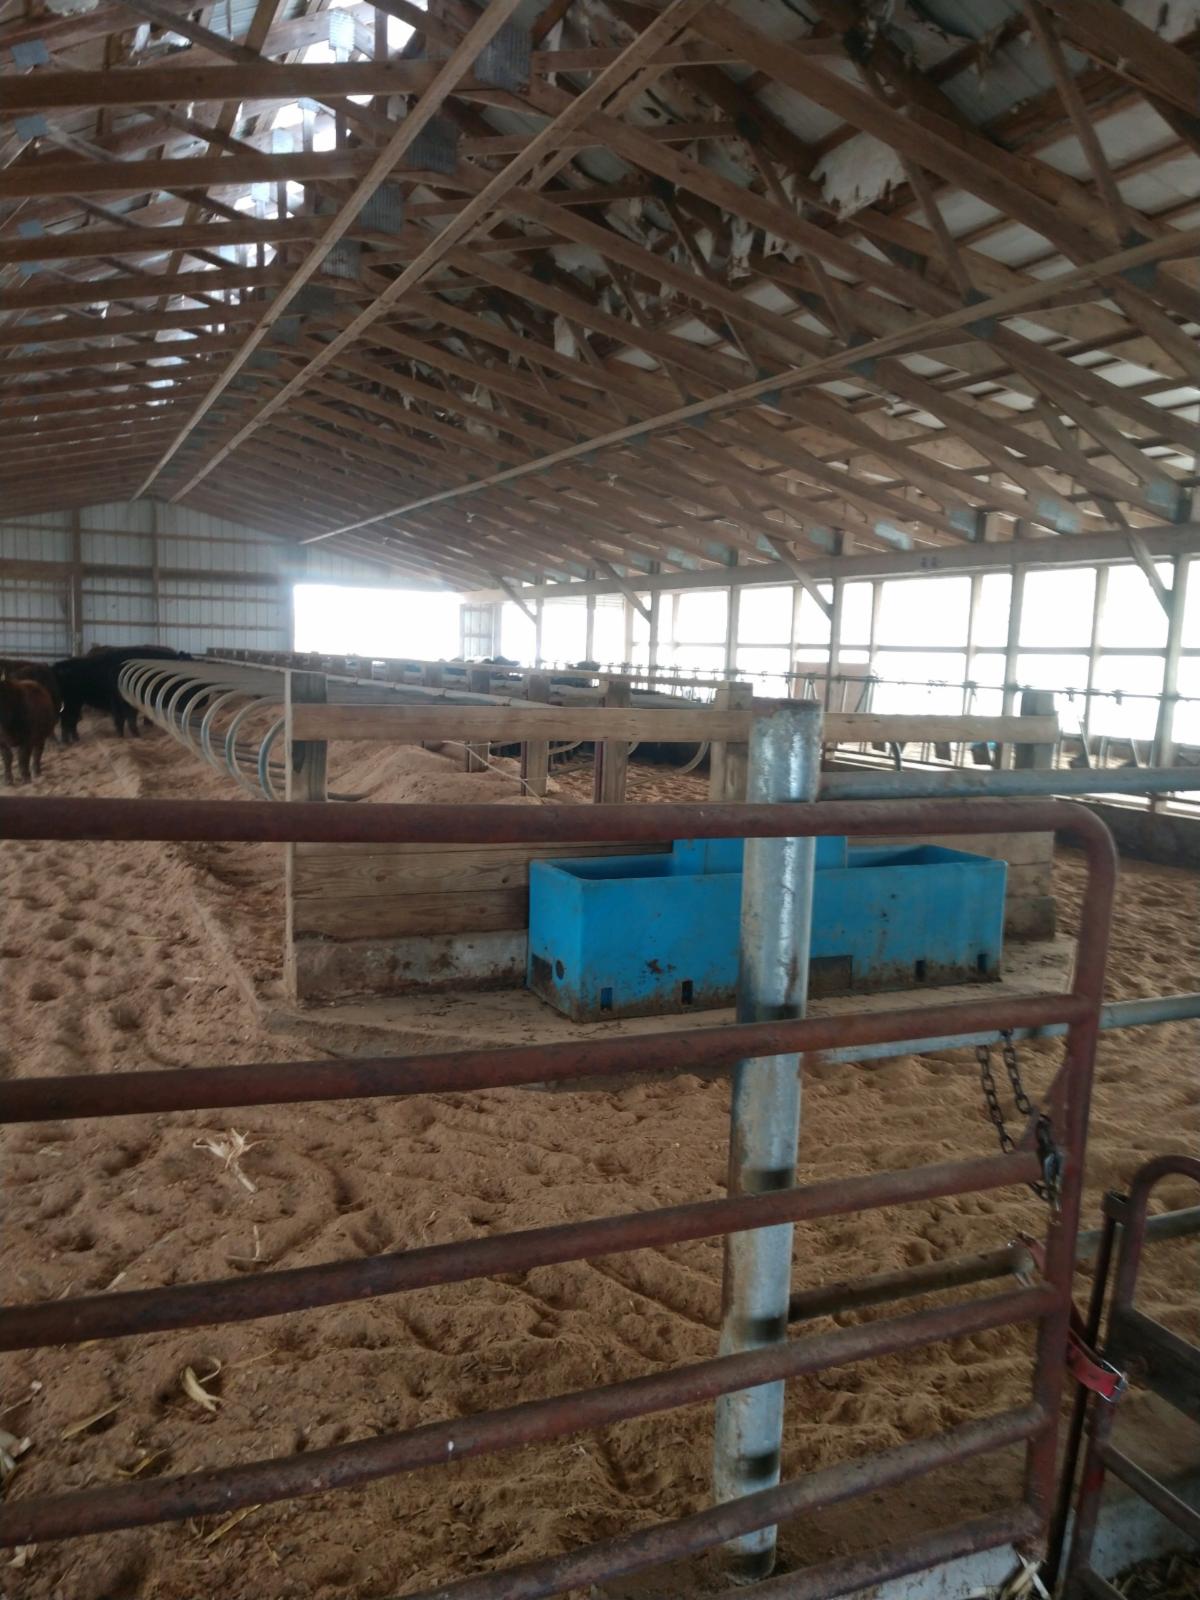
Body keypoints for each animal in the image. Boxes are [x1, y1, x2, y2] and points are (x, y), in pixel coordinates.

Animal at [54, 646, 192, 743]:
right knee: (67, 719)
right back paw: (67, 741)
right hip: (71, 702)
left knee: (71, 720)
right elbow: (126, 719)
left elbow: (125, 719)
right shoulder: (123, 703)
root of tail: (61, 666)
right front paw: (132, 735)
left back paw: (74, 739)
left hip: (76, 702)